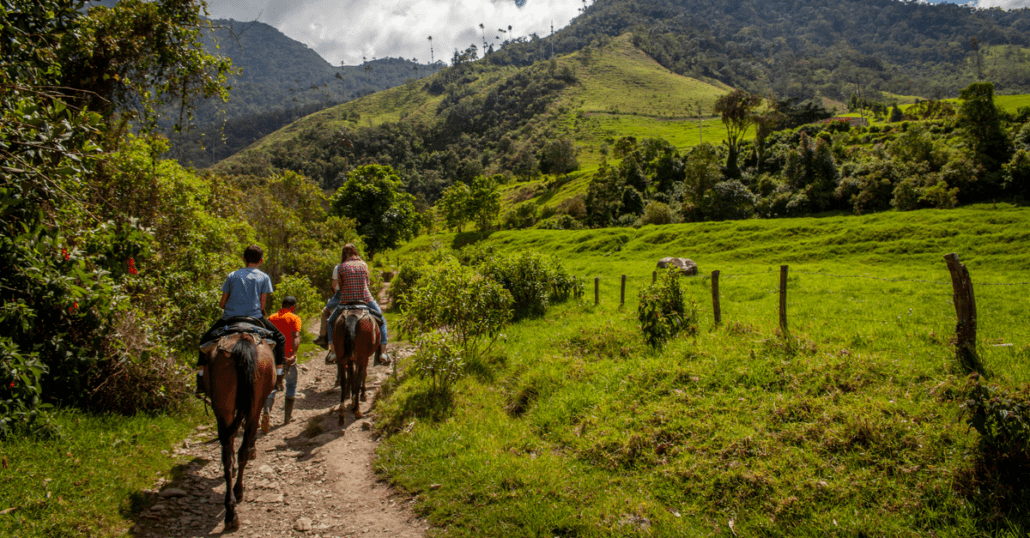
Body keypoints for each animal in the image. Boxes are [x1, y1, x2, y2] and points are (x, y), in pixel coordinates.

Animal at [202, 329, 276, 527]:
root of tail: (242, 341)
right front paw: (253, 449)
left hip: (224, 405)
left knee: (227, 453)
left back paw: (231, 509)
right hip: (250, 403)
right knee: (238, 448)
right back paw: (237, 495)